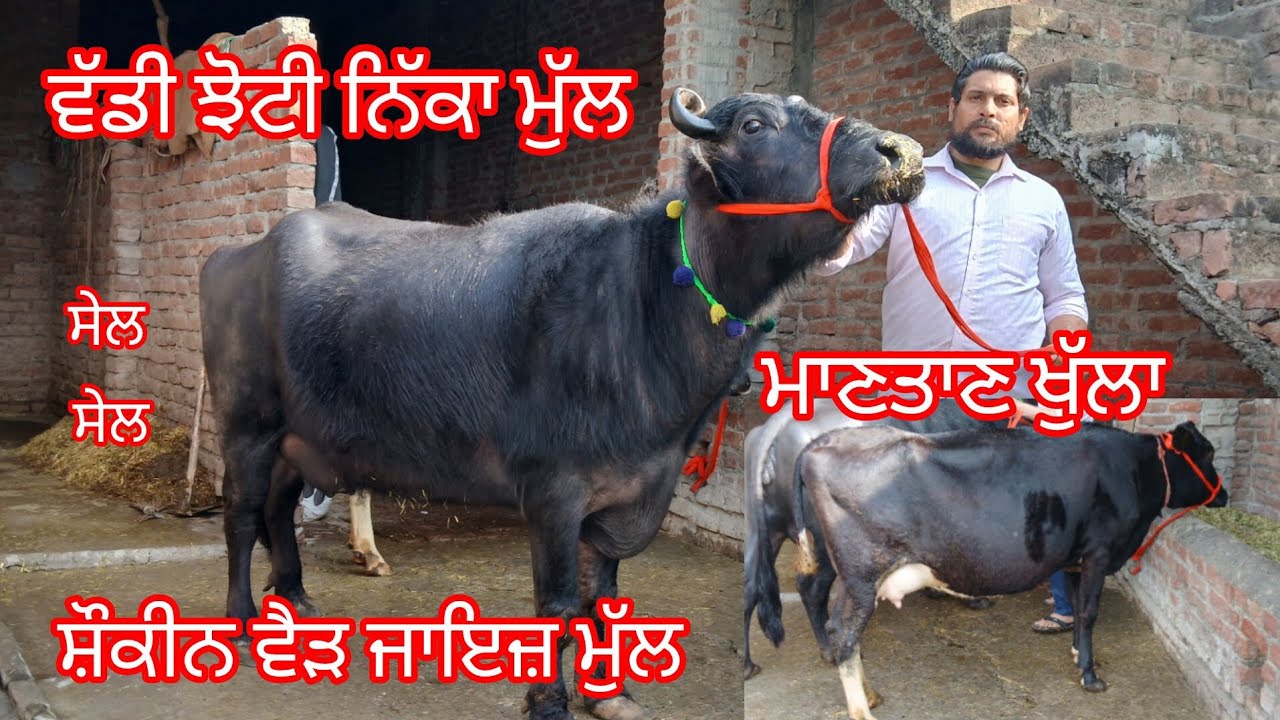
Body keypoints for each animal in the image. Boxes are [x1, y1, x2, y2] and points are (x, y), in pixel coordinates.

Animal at [198, 87, 925, 720]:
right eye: (754, 125)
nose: (899, 151)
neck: (637, 308)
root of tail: (237, 254)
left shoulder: (628, 493)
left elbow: (602, 600)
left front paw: (611, 694)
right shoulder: (551, 493)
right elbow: (557, 604)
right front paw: (549, 701)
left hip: (296, 439)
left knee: (277, 510)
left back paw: (295, 599)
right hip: (247, 426)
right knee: (240, 516)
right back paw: (241, 621)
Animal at [741, 397, 1040, 681]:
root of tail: (778, 425)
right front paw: (976, 599)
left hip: (760, 533)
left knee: (751, 590)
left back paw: (747, 665)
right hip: (825, 543)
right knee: (811, 589)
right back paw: (830, 651)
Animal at [785, 420, 1224, 720]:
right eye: (1209, 454)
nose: (1224, 496)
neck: (1132, 470)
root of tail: (821, 444)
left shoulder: (1077, 557)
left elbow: (1078, 606)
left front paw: (1076, 652)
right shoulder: (1100, 552)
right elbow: (1089, 611)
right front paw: (1090, 675)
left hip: (848, 575)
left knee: (835, 622)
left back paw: (871, 694)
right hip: (862, 572)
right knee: (844, 633)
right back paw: (862, 709)